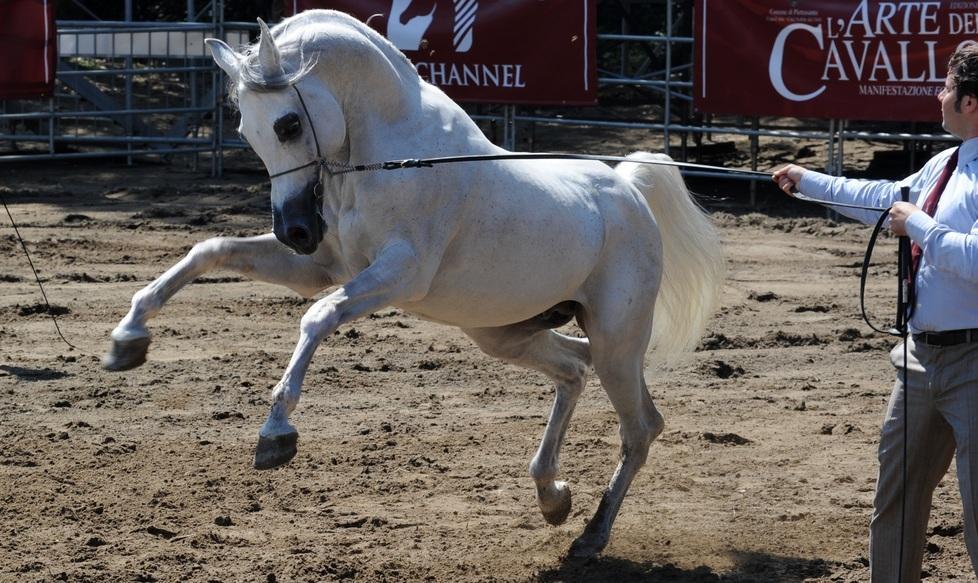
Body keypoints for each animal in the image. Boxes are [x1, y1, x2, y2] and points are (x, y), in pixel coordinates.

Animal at [102, 10, 724, 557]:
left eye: (288, 124)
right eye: (244, 130)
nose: (295, 230)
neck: (394, 158)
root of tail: (629, 190)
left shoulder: (397, 275)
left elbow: (317, 317)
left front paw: (276, 432)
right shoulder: (323, 269)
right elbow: (209, 251)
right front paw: (127, 339)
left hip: (618, 340)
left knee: (640, 427)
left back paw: (591, 536)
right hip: (503, 333)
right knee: (574, 369)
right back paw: (553, 497)